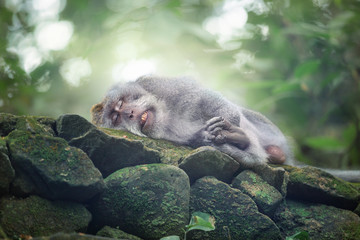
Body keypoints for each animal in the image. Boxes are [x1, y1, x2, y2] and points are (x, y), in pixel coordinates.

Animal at [90, 75, 360, 182]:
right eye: (115, 117)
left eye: (122, 105)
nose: (130, 114)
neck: (163, 116)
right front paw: (201, 138)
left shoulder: (161, 85)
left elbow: (205, 96)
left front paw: (228, 124)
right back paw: (239, 144)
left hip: (268, 130)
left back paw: (237, 134)